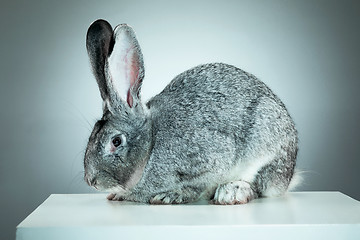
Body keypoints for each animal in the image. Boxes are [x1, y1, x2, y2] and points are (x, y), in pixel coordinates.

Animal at [83, 19, 298, 205]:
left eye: (116, 141)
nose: (91, 181)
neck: (151, 143)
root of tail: (288, 177)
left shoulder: (210, 161)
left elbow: (197, 186)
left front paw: (170, 196)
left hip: (267, 149)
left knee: (258, 187)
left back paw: (231, 192)